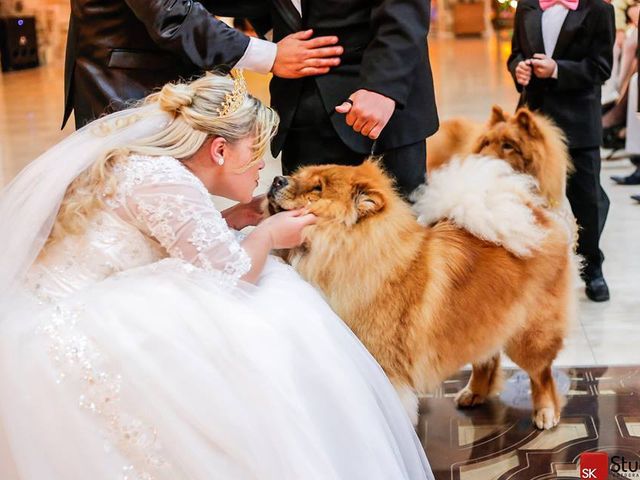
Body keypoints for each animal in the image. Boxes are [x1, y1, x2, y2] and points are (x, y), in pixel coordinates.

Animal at [268, 158, 576, 432]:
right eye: (297, 175)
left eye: (317, 188)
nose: (277, 180)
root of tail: (536, 216)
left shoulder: (388, 366)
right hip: (484, 322)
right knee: (487, 360)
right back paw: (473, 393)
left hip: (528, 335)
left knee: (541, 374)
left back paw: (546, 413)